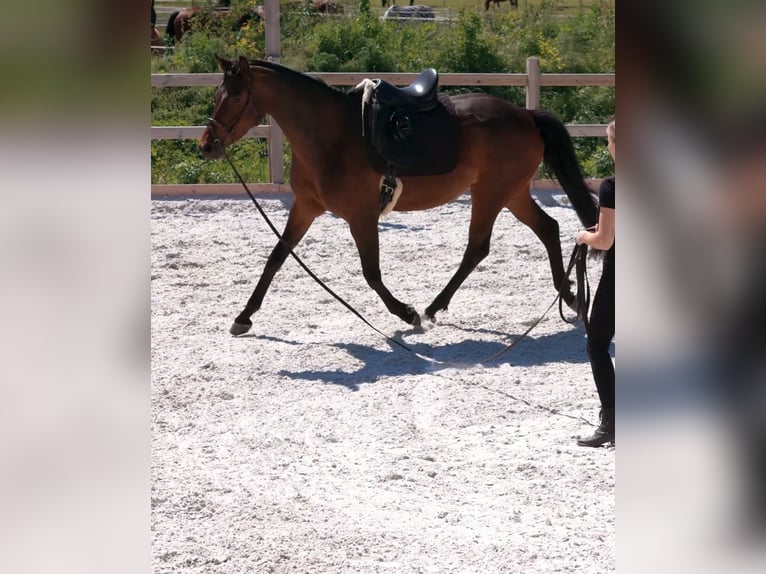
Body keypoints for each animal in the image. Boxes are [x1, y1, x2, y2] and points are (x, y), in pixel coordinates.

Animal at [199, 56, 598, 335]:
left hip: (492, 193)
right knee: (547, 228)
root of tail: (526, 115)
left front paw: (406, 313)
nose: (207, 145)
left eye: (236, 96)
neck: (331, 135)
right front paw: (244, 317)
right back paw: (569, 296)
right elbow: (277, 257)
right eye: (217, 94)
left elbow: (371, 272)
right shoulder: (306, 207)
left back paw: (434, 307)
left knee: (478, 247)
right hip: (510, 193)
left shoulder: (361, 216)